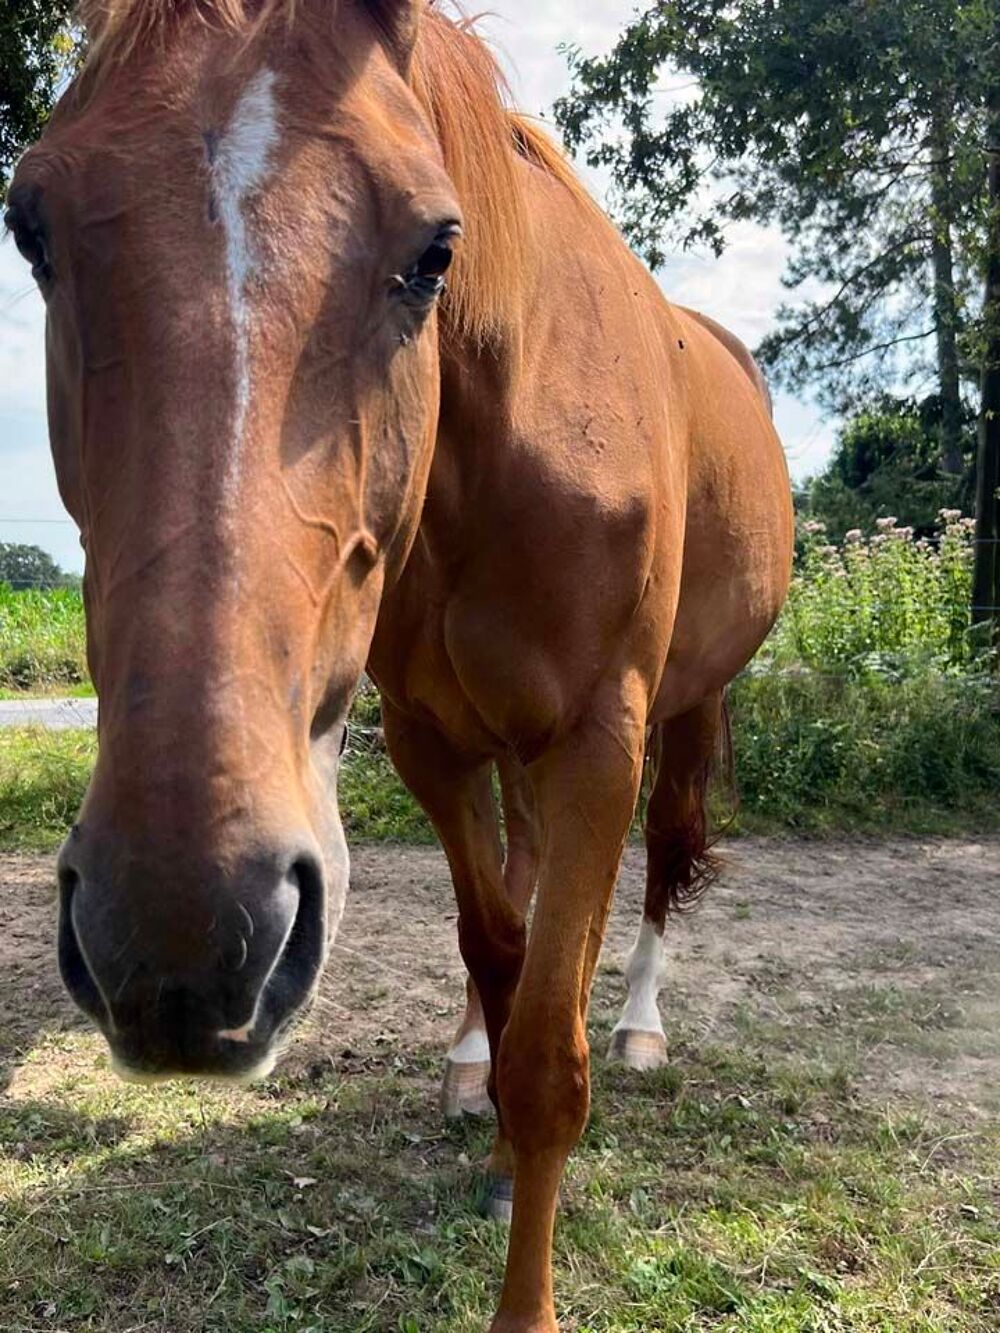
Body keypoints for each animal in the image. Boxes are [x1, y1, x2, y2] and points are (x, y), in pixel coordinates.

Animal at [5, 3, 794, 1329]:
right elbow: (499, 952)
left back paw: (640, 1025)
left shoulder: (599, 740)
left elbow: (551, 1059)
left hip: (689, 707)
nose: (180, 939)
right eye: (31, 229)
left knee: (670, 857)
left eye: (434, 250)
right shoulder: (430, 742)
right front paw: (490, 1120)